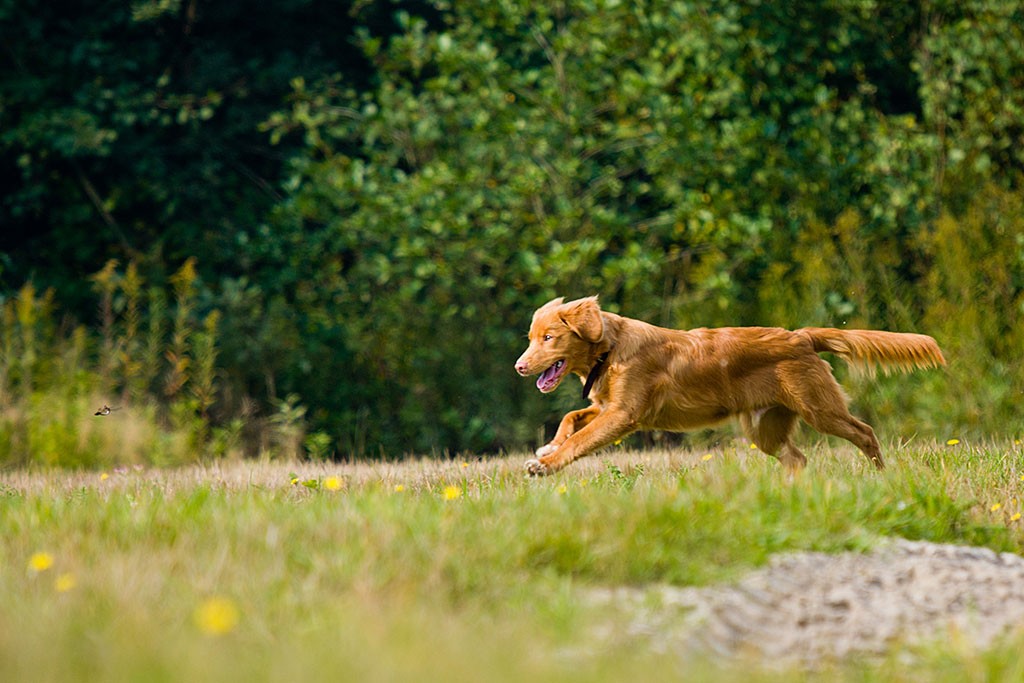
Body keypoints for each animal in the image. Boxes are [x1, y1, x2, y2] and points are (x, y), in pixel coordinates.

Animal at [516, 294, 946, 475]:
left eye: (549, 338)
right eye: (531, 337)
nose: (520, 367)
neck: (611, 347)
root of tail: (801, 337)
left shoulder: (624, 414)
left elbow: (579, 441)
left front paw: (546, 464)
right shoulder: (607, 408)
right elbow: (572, 418)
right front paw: (548, 446)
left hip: (819, 408)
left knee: (865, 432)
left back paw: (881, 475)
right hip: (765, 428)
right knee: (797, 458)